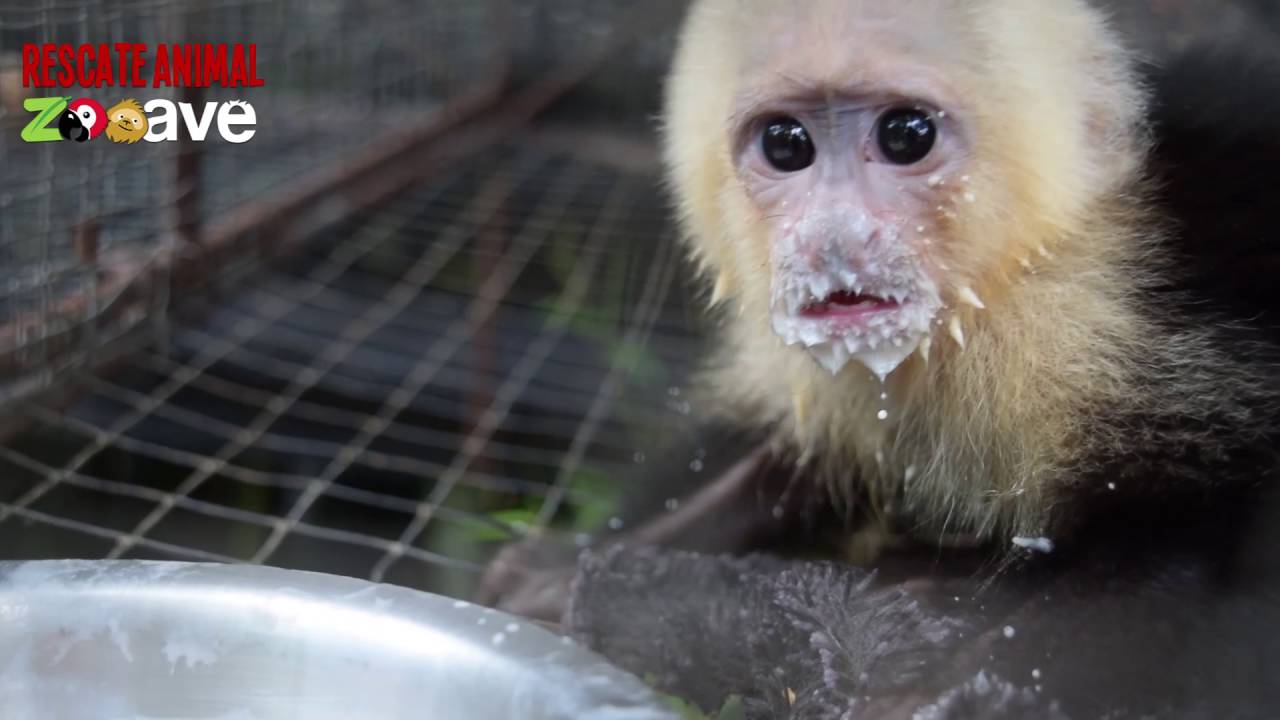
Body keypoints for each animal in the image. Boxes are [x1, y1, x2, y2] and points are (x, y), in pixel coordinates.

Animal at [478, 2, 1280, 712]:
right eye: (786, 145)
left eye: (906, 136)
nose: (833, 239)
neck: (1002, 292)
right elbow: (799, 459)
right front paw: (571, 567)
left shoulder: (1108, 328)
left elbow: (1192, 532)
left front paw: (948, 694)